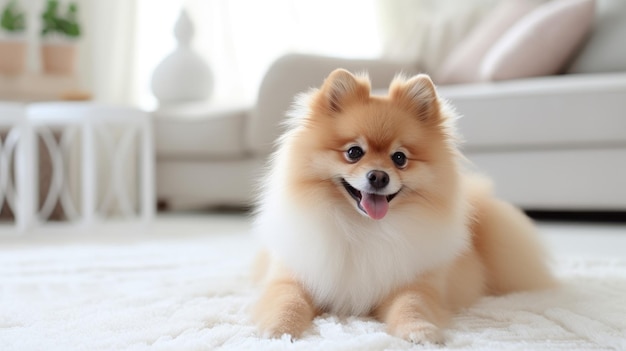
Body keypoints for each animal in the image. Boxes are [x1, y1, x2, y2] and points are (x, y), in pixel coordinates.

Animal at [251, 68, 552, 344]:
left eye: (399, 158)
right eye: (353, 152)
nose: (378, 176)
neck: (364, 228)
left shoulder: (415, 281)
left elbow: (412, 304)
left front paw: (419, 331)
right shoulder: (293, 275)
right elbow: (287, 300)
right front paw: (279, 330)